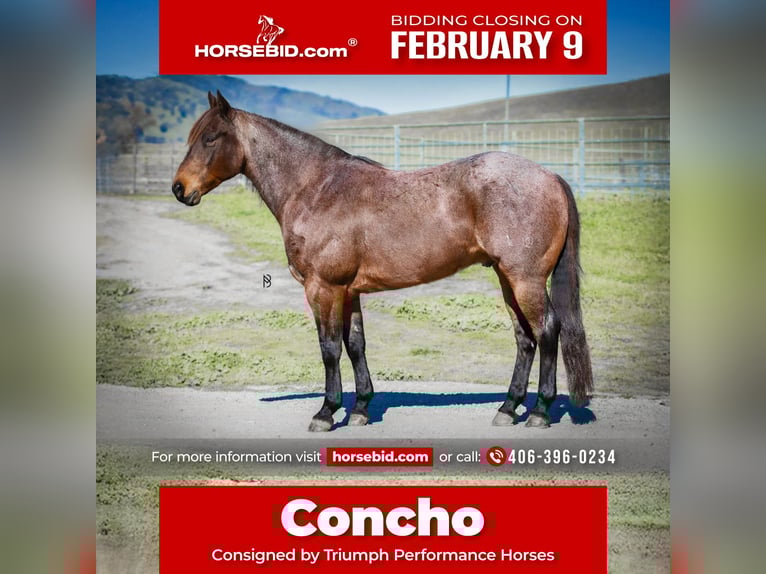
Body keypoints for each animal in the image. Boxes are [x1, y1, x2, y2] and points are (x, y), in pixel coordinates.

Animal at [172, 91, 593, 432]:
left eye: (210, 138)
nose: (179, 189)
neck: (316, 189)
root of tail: (551, 177)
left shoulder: (323, 288)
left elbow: (329, 348)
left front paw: (326, 413)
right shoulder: (349, 291)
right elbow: (355, 344)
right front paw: (360, 409)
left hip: (525, 280)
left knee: (547, 331)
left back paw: (538, 412)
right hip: (508, 279)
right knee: (524, 338)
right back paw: (508, 408)